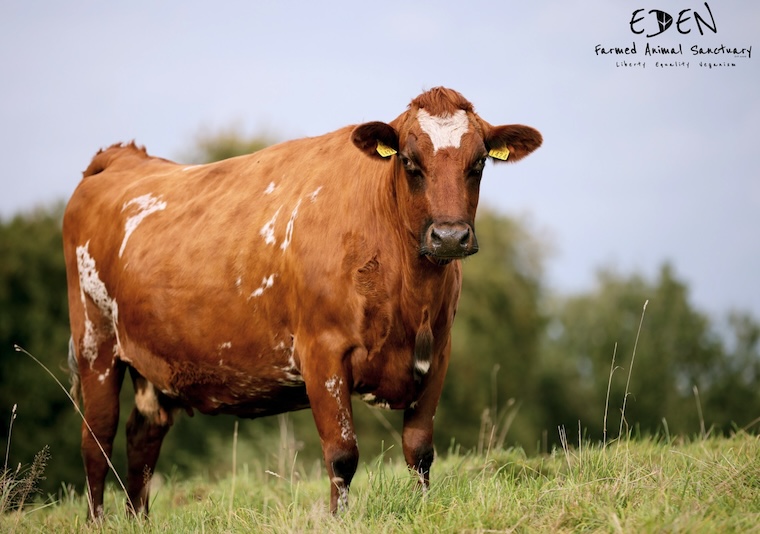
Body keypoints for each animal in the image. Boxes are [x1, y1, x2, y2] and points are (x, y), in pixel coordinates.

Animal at [63, 87, 541, 520]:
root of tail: (123, 158)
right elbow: (342, 454)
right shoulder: (322, 353)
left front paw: (423, 510)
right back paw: (97, 522)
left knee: (142, 438)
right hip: (95, 344)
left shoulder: (437, 353)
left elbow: (420, 451)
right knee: (96, 439)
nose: (449, 236)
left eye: (478, 163)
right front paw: (338, 520)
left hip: (152, 367)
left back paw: (139, 520)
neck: (409, 295)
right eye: (410, 162)